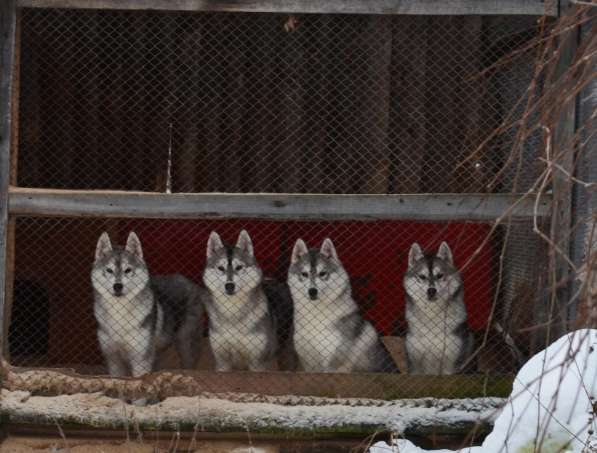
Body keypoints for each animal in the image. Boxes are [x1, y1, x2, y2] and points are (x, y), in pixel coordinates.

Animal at [91, 231, 205, 376]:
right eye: (109, 270)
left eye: (128, 270)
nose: (117, 286)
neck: (120, 312)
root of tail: (190, 282)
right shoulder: (113, 358)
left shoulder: (140, 359)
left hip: (186, 343)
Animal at [200, 230, 274, 370]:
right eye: (221, 268)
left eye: (239, 267)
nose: (229, 286)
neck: (233, 311)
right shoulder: (222, 362)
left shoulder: (257, 363)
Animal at [286, 238, 394, 372]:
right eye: (304, 274)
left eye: (322, 273)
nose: (312, 291)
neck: (317, 314)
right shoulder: (308, 361)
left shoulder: (331, 360)